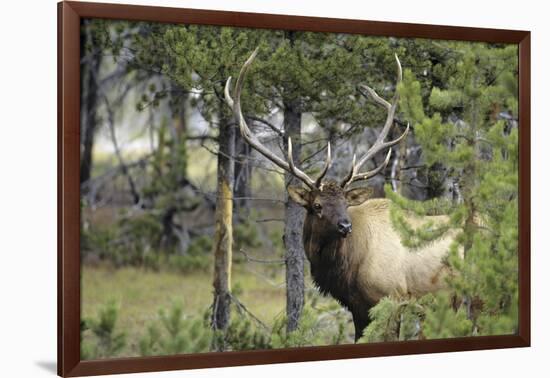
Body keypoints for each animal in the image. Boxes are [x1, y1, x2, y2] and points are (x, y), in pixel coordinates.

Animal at [224, 48, 458, 342]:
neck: (347, 269)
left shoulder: (393, 299)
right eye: (317, 205)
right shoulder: (357, 307)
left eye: (346, 203)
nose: (345, 226)